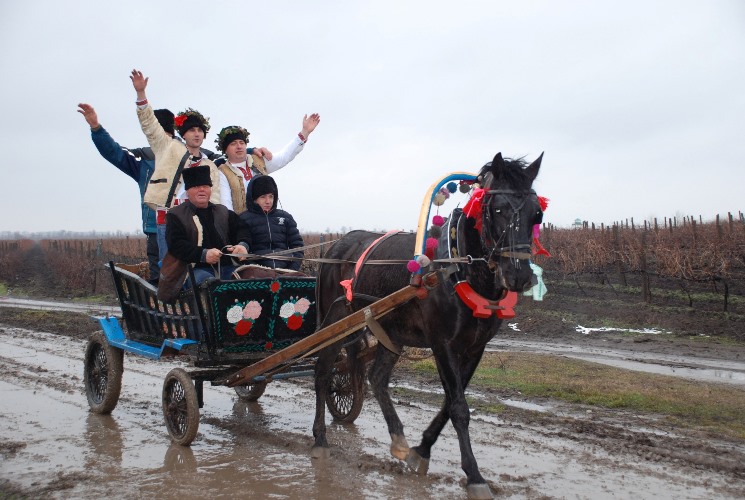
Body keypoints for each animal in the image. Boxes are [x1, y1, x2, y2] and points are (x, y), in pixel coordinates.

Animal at [310, 153, 544, 500]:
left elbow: (450, 402)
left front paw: (421, 450)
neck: (458, 267)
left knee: (377, 379)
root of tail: (338, 246)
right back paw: (320, 438)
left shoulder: (475, 348)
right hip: (337, 321)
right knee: (324, 370)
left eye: (536, 213)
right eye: (498, 209)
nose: (520, 276)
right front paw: (474, 475)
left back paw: (398, 438)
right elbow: (459, 408)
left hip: (389, 331)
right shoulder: (441, 342)